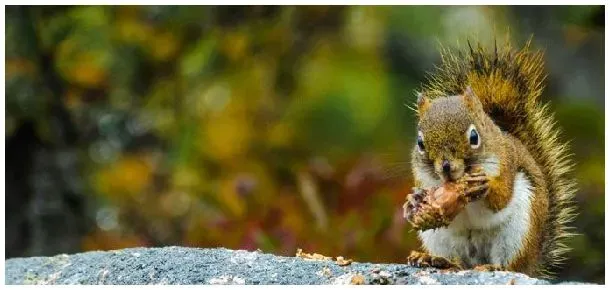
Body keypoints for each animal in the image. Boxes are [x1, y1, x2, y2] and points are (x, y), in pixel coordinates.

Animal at [402, 39, 572, 278]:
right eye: (420, 143)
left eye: (474, 137)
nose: (446, 167)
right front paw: (414, 200)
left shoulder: (506, 163)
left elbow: (501, 199)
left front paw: (486, 186)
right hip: (439, 239)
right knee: (458, 262)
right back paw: (435, 259)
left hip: (518, 231)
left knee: (511, 266)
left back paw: (493, 266)